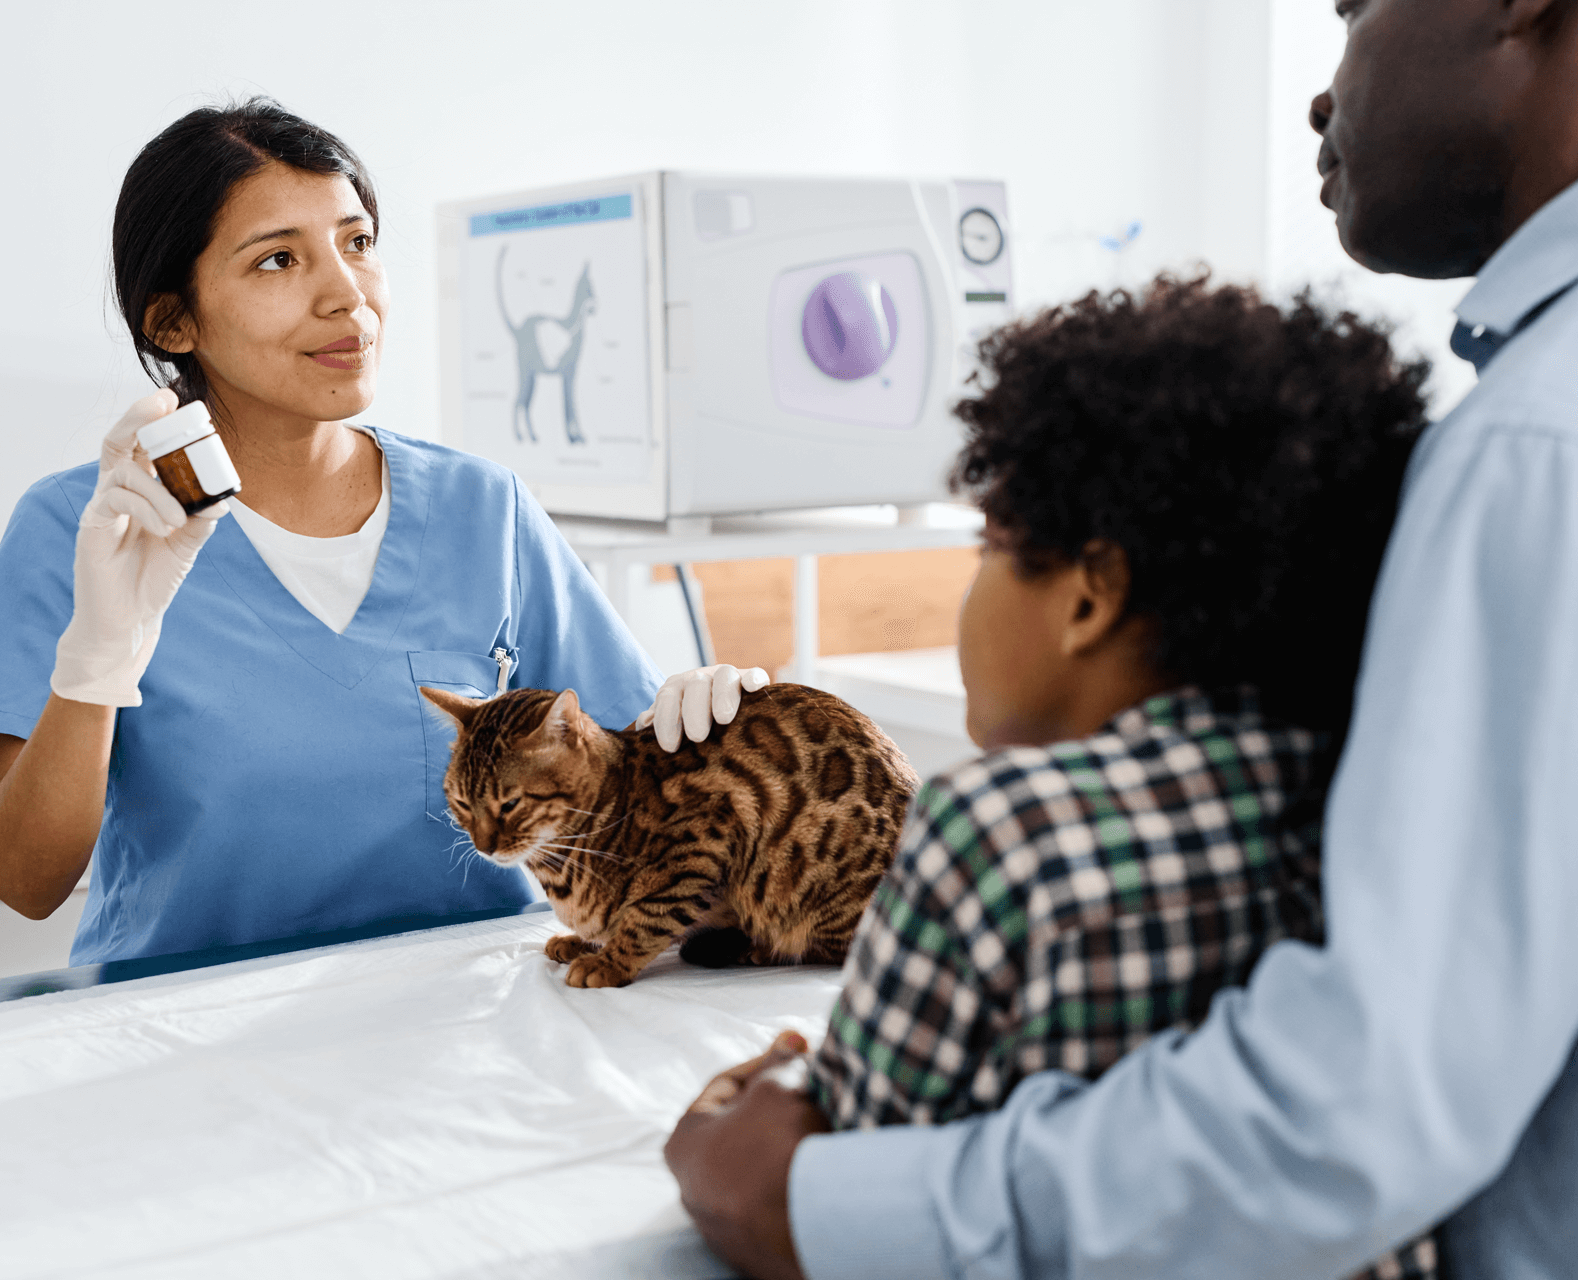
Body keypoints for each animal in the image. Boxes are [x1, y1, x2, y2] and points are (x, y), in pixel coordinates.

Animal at [419, 681, 921, 991]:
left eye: (510, 804)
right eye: (461, 802)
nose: (484, 845)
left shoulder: (702, 840)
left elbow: (645, 917)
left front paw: (607, 960)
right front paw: (583, 941)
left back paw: (755, 948)